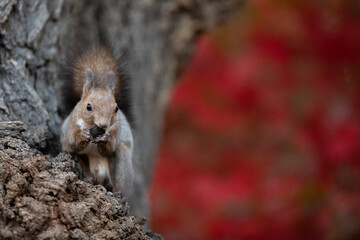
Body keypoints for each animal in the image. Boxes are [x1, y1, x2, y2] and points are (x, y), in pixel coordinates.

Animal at [59, 47, 134, 197]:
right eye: (88, 107)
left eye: (116, 108)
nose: (104, 124)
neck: (92, 126)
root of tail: (99, 173)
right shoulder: (72, 124)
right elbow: (72, 140)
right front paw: (83, 136)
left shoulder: (115, 130)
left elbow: (110, 147)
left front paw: (105, 139)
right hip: (78, 158)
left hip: (121, 160)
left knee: (119, 180)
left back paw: (119, 195)